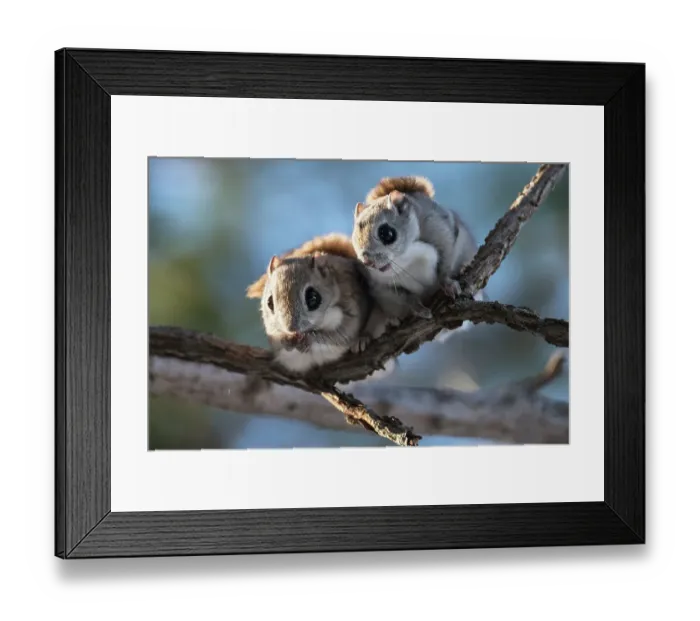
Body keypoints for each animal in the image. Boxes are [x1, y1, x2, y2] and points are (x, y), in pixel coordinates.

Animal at [246, 233, 389, 374]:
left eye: (313, 298)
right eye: (269, 302)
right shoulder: (272, 331)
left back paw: (362, 339)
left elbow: (339, 336)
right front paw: (285, 340)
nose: (291, 329)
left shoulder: (349, 311)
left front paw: (310, 339)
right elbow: (277, 341)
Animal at [351, 176, 482, 331]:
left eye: (386, 233)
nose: (367, 261)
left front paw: (448, 282)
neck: (405, 257)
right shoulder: (379, 285)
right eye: (355, 237)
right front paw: (418, 307)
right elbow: (404, 296)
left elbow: (446, 262)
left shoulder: (440, 229)